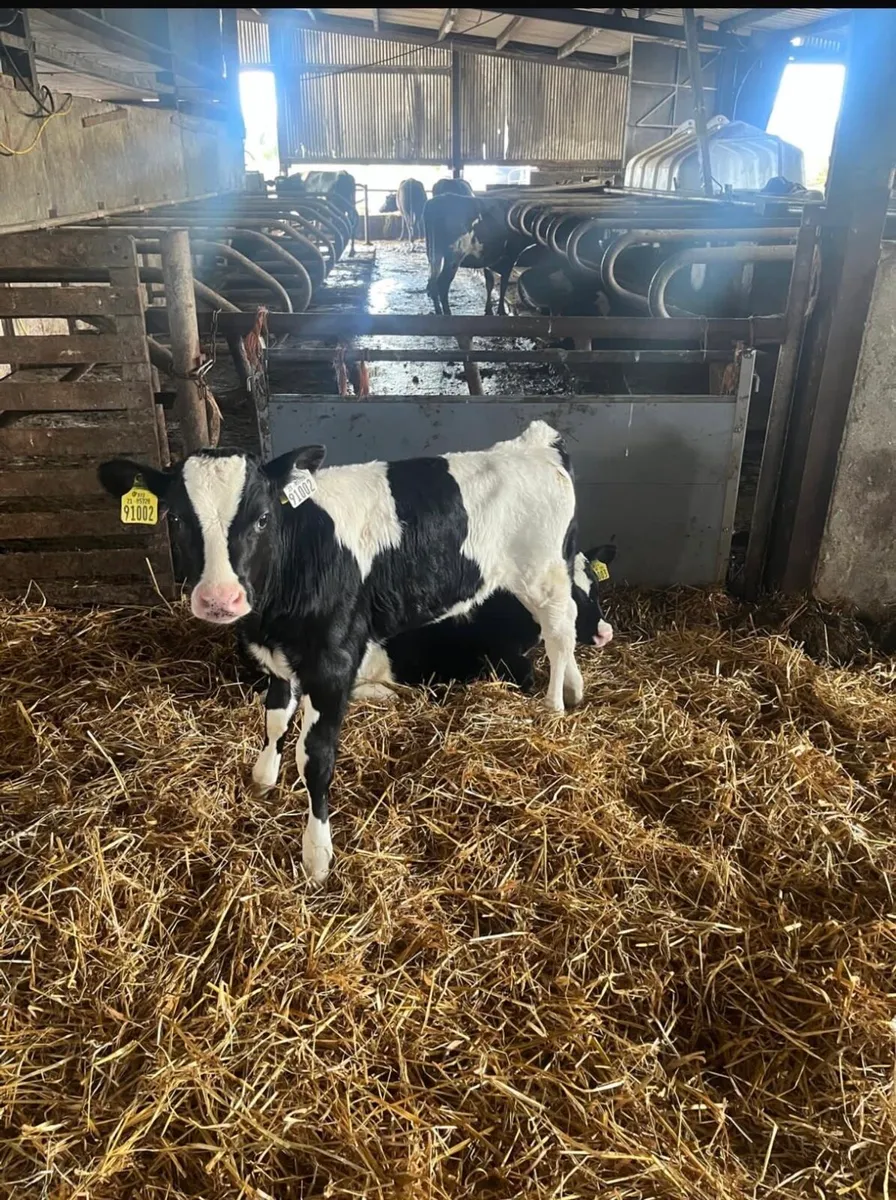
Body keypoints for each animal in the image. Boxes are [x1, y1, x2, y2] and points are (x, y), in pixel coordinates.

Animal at [98, 421, 584, 885]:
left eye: (262, 518)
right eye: (177, 518)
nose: (220, 599)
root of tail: (536, 442)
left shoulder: (331, 662)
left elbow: (314, 758)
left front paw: (316, 857)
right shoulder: (280, 657)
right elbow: (274, 716)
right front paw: (263, 778)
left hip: (542, 574)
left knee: (560, 632)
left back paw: (556, 706)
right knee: (567, 624)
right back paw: (574, 689)